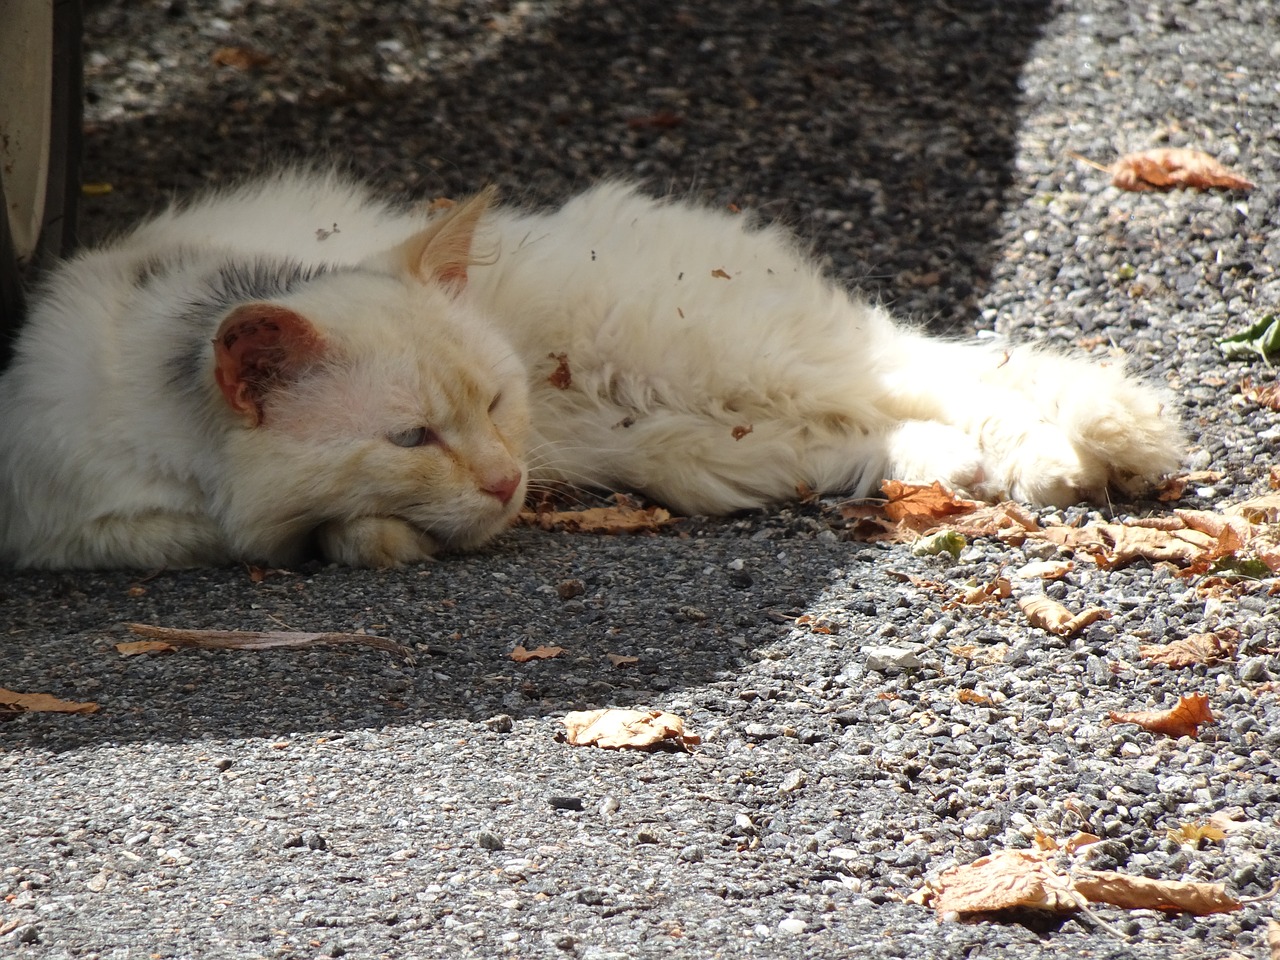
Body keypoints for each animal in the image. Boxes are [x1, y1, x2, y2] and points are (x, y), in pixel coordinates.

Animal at [0, 171, 1177, 570]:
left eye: (491, 403)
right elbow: (330, 533)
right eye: (412, 437)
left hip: (713, 351)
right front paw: (375, 538)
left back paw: (1099, 447)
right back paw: (1000, 467)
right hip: (696, 448)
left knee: (940, 367)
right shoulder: (110, 535)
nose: (504, 482)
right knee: (880, 430)